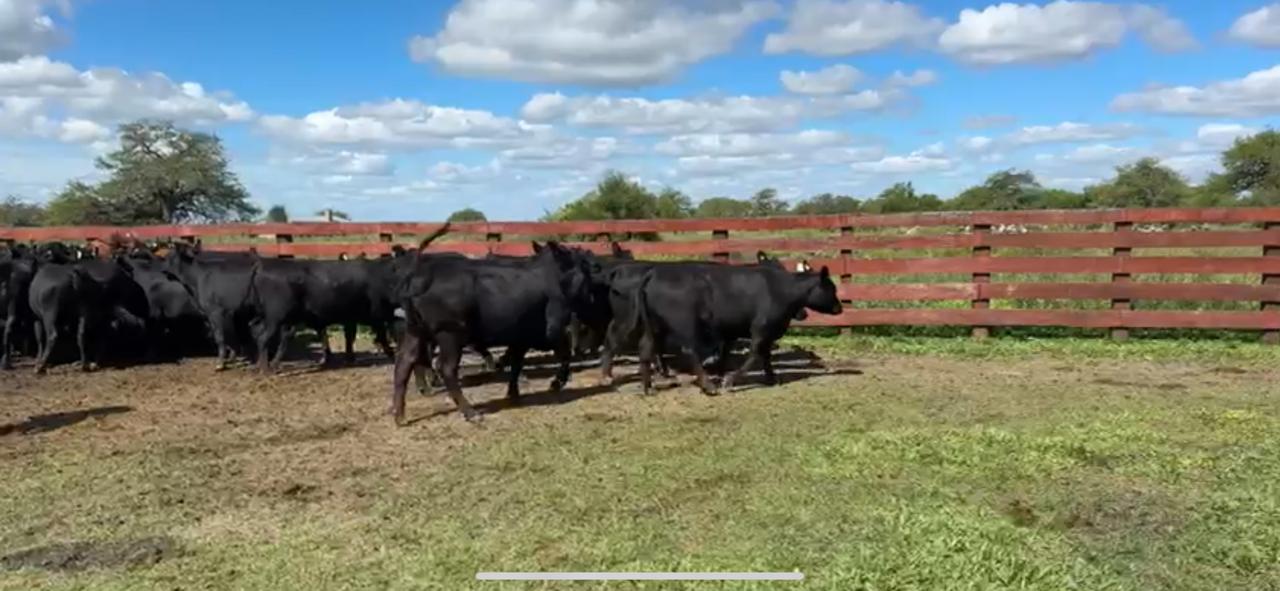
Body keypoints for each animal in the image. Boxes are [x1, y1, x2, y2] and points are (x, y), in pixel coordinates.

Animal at [390, 240, 594, 424]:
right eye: (582, 267)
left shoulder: (521, 336)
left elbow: (517, 363)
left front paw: (513, 392)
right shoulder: (550, 329)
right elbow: (564, 352)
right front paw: (557, 382)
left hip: (416, 331)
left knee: (404, 363)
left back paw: (399, 415)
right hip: (450, 334)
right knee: (445, 368)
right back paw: (470, 412)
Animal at [631, 260, 842, 396]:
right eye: (831, 288)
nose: (839, 308)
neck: (783, 290)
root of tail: (655, 273)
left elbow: (764, 355)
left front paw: (771, 378)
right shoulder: (761, 329)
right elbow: (755, 354)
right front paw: (729, 381)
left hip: (654, 325)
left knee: (645, 349)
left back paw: (647, 387)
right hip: (685, 325)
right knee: (689, 351)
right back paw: (708, 386)